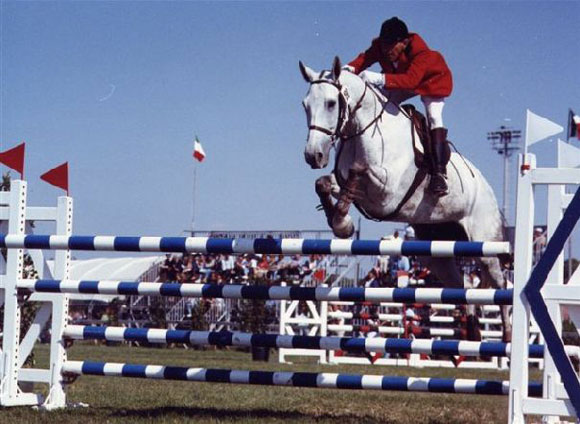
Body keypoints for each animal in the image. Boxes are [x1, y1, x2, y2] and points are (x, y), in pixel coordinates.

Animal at [302, 57, 510, 342]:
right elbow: (323, 183)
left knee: (501, 285)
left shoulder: (387, 194)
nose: (313, 156)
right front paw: (342, 223)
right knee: (462, 286)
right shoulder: (345, 182)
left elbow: (358, 170)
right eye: (305, 105)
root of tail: (489, 191)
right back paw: (473, 333)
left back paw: (508, 337)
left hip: (485, 247)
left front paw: (343, 223)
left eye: (331, 103)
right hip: (436, 253)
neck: (362, 131)